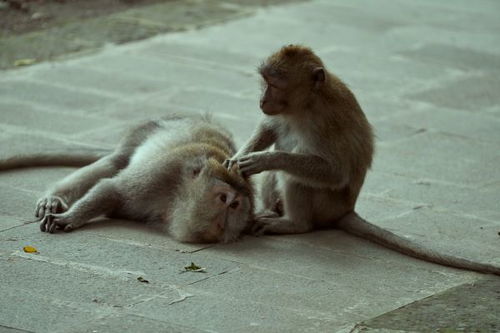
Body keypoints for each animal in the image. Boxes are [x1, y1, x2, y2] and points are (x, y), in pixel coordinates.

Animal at [0, 113, 254, 241]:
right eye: (224, 199)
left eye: (236, 205)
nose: (230, 207)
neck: (177, 199)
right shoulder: (164, 172)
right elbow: (112, 190)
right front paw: (70, 217)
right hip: (144, 131)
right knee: (115, 162)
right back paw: (55, 198)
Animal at [227, 44, 500, 274]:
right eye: (265, 81)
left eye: (275, 84)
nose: (262, 100)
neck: (306, 104)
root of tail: (346, 210)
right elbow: (269, 128)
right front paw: (238, 157)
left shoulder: (325, 122)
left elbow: (334, 172)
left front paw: (265, 159)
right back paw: (272, 212)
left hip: (327, 204)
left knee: (295, 177)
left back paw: (295, 224)